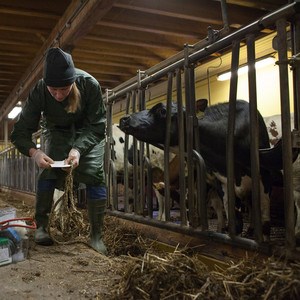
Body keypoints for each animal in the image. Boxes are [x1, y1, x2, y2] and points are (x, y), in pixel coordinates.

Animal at [119, 99, 278, 240]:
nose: (124, 119)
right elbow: (236, 223)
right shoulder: (221, 182)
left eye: (162, 111)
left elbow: (265, 223)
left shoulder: (265, 177)